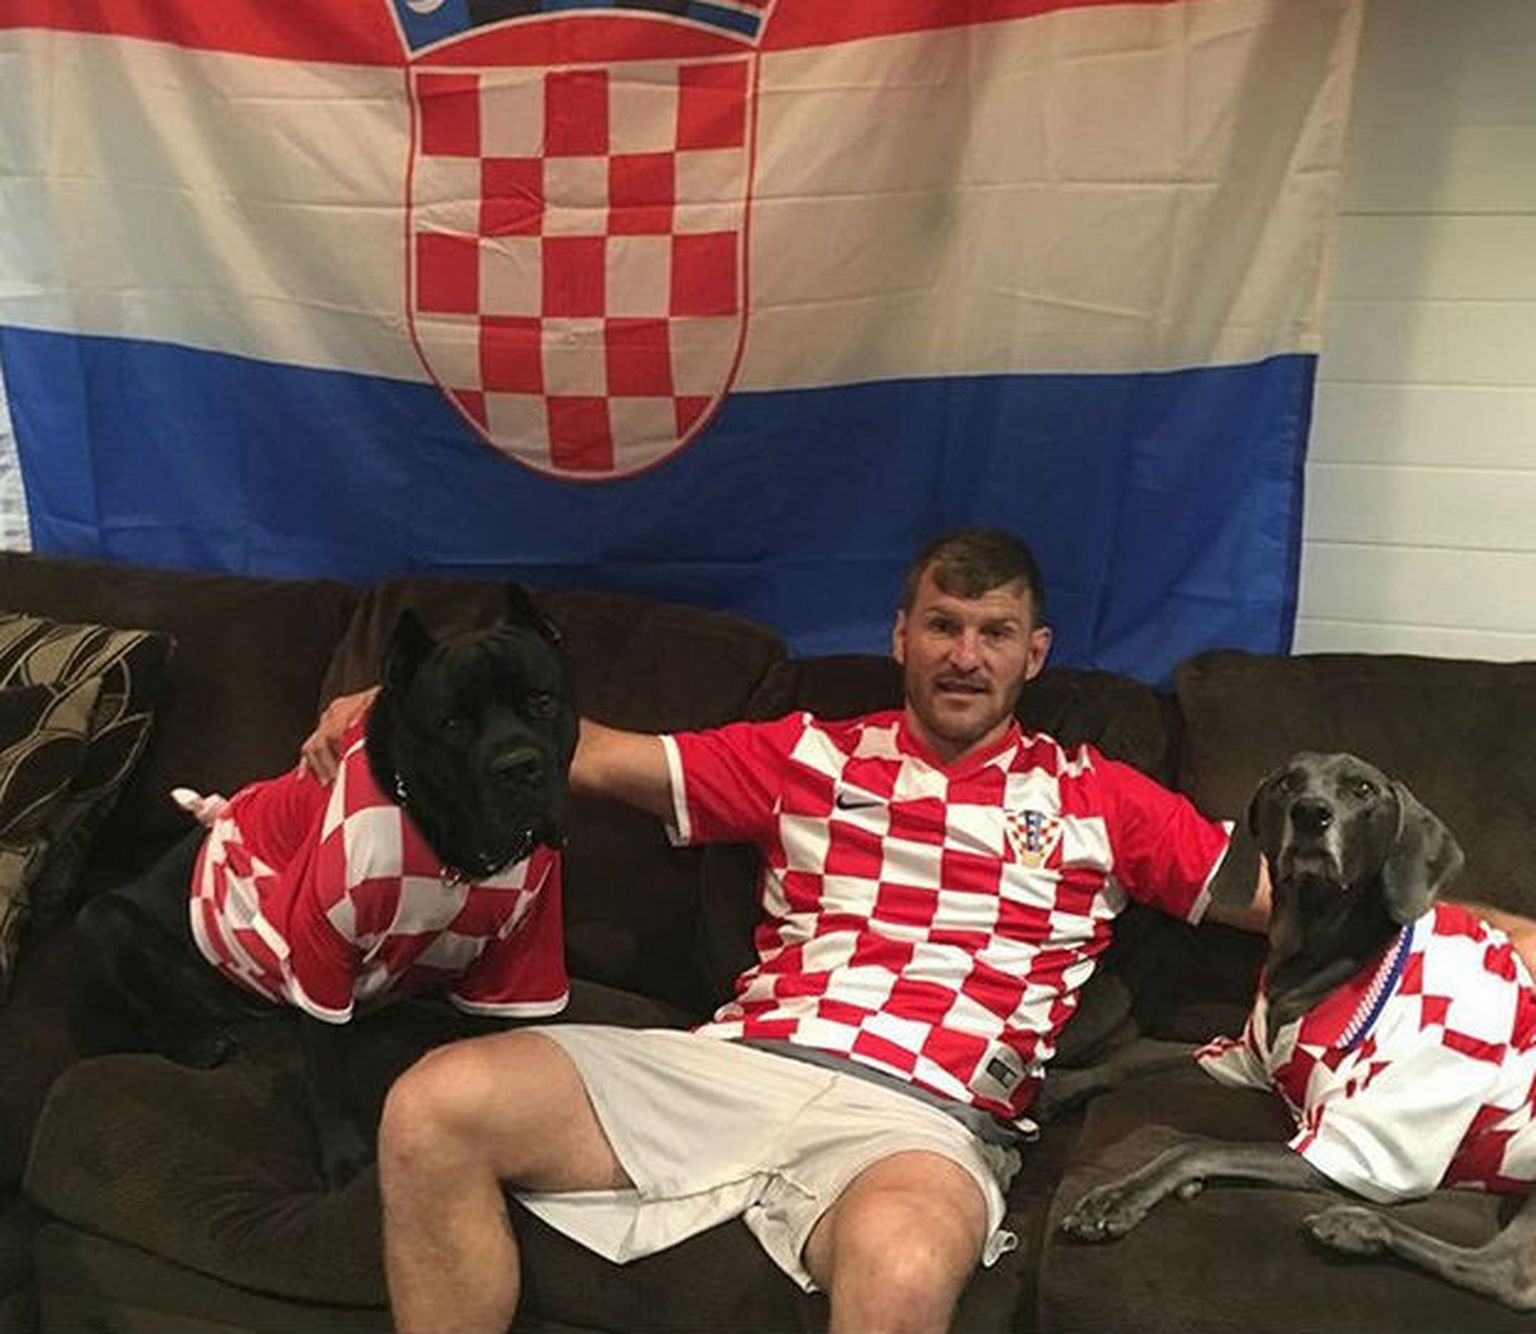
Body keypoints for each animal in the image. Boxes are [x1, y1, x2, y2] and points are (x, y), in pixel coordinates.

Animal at [71, 584, 579, 1186]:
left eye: (542, 700)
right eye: (453, 725)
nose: (518, 767)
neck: (449, 851)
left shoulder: (521, 955)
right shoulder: (323, 949)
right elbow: (330, 1074)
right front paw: (343, 1156)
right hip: (101, 921)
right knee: (150, 1017)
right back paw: (197, 1043)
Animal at [1059, 751, 1536, 1309]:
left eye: (1362, 789)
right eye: (1287, 783)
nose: (1311, 814)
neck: (1318, 953)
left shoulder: (1355, 1144)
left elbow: (1196, 1145)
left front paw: (1120, 1197)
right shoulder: (1244, 1058)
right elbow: (1131, 1062)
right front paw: (1054, 1088)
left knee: (1509, 1273)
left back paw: (1361, 1227)